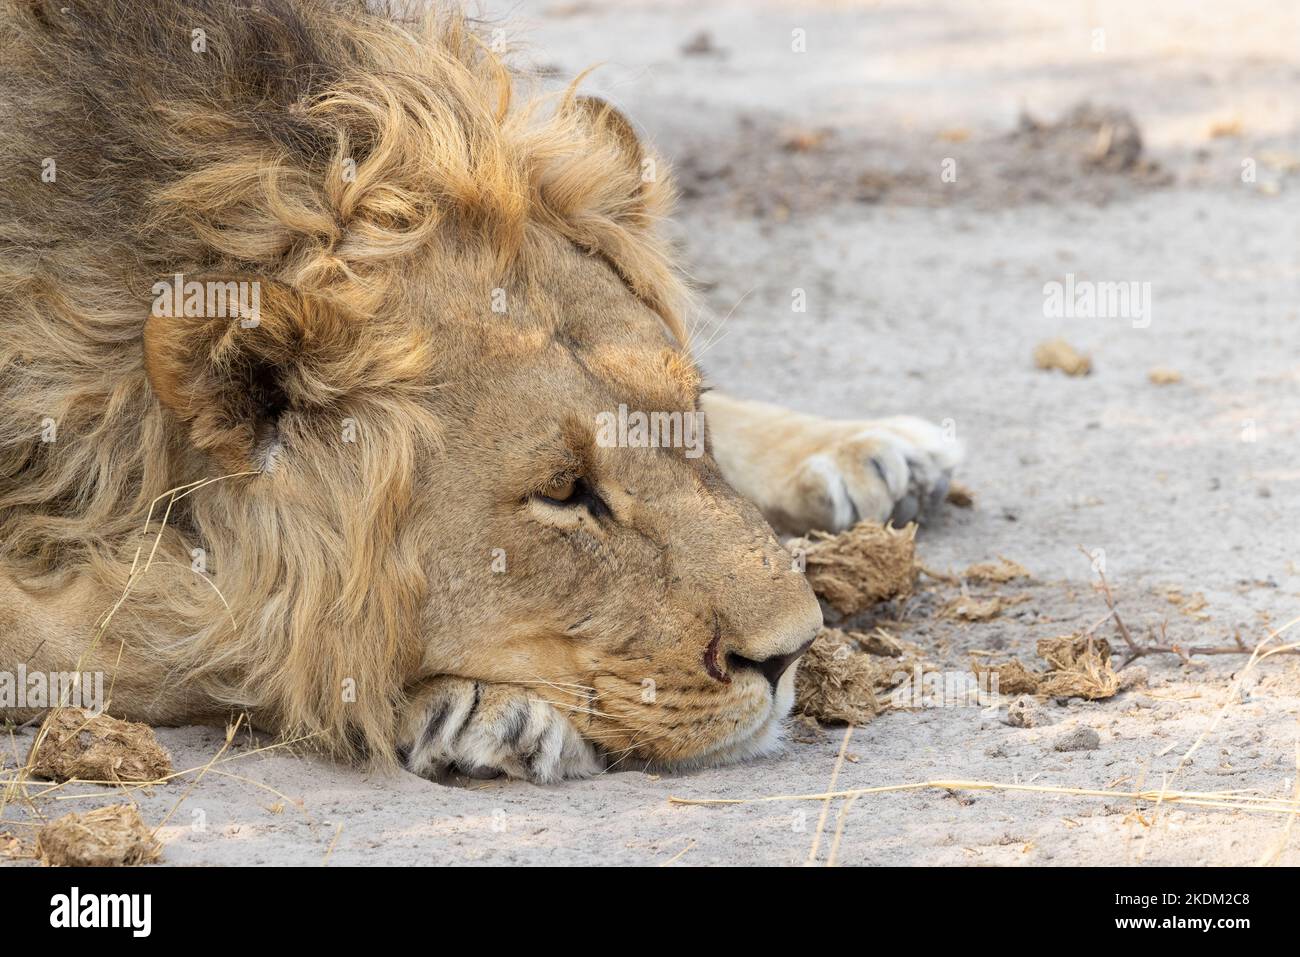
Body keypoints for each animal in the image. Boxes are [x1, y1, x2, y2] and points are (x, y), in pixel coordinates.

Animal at [0, 0, 961, 782]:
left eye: (692, 426)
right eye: (564, 494)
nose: (794, 653)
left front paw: (861, 444)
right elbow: (163, 632)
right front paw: (477, 707)